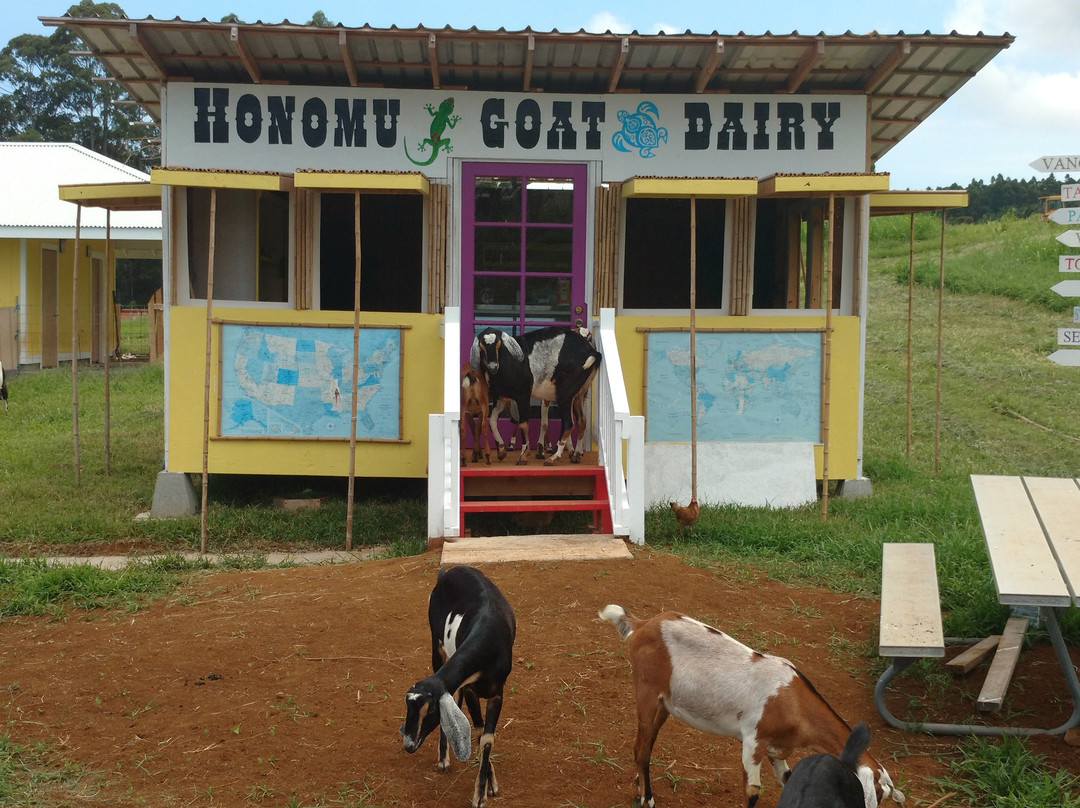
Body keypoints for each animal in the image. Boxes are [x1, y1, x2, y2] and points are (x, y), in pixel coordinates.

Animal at [401, 566, 516, 808]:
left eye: (431, 710)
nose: (408, 745)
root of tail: (449, 570)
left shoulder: (498, 693)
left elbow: (487, 738)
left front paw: (484, 791)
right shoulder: (471, 689)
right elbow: (481, 732)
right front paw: (484, 789)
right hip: (437, 646)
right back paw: (443, 760)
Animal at [470, 326, 601, 465]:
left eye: (499, 343)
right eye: (481, 346)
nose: (493, 366)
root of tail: (592, 352)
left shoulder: (522, 396)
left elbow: (523, 424)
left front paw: (523, 455)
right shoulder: (501, 399)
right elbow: (492, 421)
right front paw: (501, 450)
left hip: (564, 394)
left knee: (568, 423)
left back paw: (553, 457)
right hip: (579, 395)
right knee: (582, 421)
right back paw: (575, 454)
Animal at [598, 605, 904, 808]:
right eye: (873, 792)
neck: (795, 702)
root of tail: (641, 624)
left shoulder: (777, 750)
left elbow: (788, 778)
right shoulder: (753, 742)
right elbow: (753, 791)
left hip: (665, 704)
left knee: (643, 745)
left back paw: (639, 791)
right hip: (647, 694)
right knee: (642, 750)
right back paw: (647, 799)